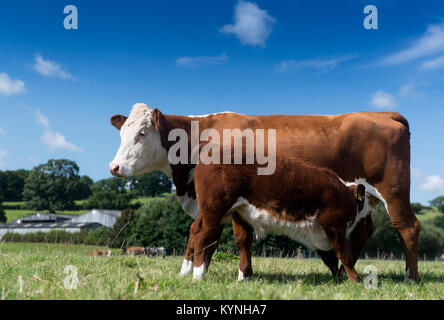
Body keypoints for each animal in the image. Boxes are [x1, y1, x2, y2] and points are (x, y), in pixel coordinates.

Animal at [109, 103, 422, 282]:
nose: (114, 167)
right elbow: (217, 235)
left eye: (142, 133)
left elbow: (234, 237)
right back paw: (343, 271)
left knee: (407, 227)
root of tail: (385, 114)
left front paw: (239, 275)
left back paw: (410, 277)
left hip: (393, 191)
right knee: (364, 229)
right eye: (122, 133)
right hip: (362, 196)